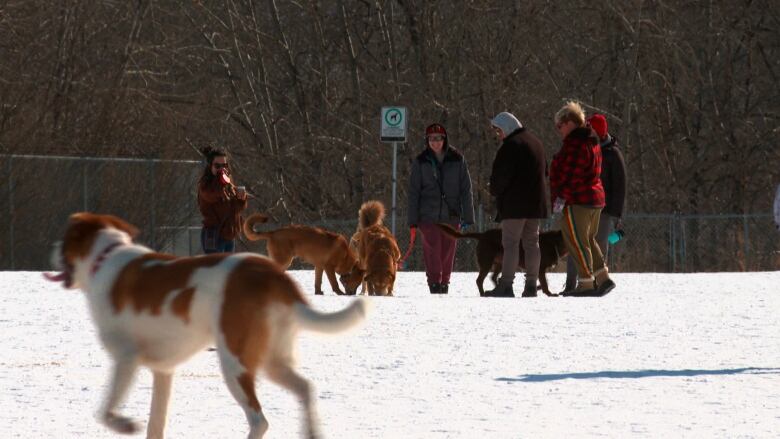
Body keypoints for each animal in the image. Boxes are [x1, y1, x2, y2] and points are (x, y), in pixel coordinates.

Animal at [44, 213, 368, 439]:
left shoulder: (126, 359)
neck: (105, 257)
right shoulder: (163, 372)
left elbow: (106, 412)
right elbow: (155, 425)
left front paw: (124, 423)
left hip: (235, 364)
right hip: (272, 361)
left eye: (64, 240)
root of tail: (272, 275)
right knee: (305, 389)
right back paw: (311, 430)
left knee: (259, 420)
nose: (52, 248)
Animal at [432, 223, 568, 296]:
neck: (555, 243)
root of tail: (482, 235)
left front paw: (537, 288)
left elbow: (543, 281)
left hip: (500, 262)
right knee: (479, 280)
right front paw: (549, 293)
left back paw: (496, 288)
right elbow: (545, 283)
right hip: (486, 262)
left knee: (493, 277)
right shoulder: (540, 268)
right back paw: (484, 293)